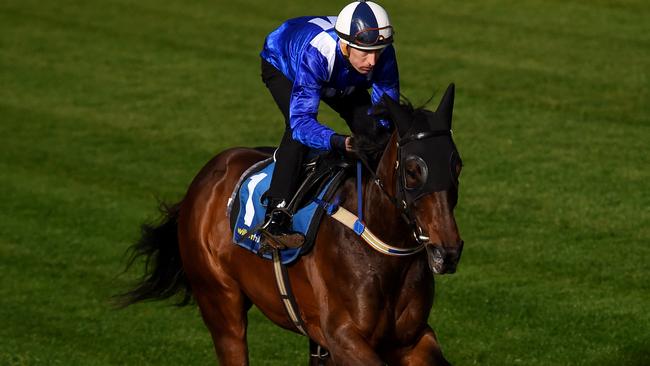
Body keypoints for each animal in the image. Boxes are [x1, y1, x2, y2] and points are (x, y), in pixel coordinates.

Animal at [117, 83, 460, 366]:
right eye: (414, 169)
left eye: (456, 164)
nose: (448, 252)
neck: (381, 245)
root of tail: (203, 179)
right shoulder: (343, 337)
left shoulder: (410, 338)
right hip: (221, 304)